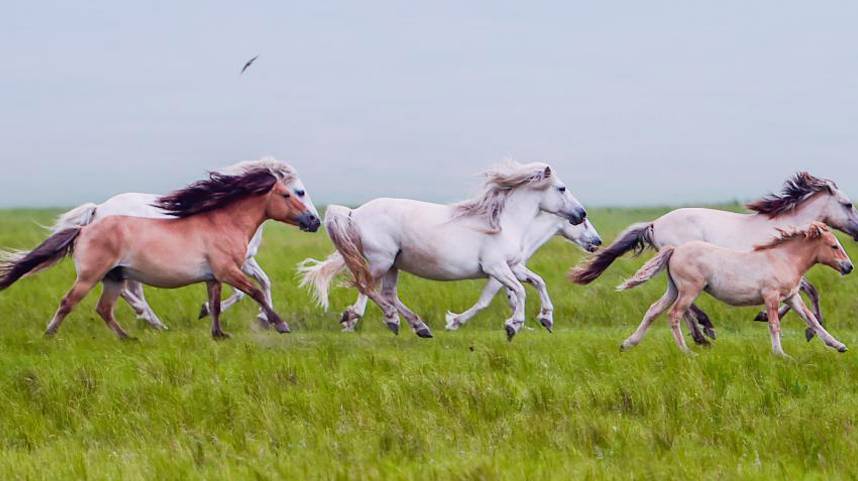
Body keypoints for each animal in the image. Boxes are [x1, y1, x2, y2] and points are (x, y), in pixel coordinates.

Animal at [0, 159, 320, 340]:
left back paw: (129, 336)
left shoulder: (214, 277)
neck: (222, 222)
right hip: (92, 276)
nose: (314, 220)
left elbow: (219, 303)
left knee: (105, 308)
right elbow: (254, 291)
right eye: (291, 193)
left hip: (114, 278)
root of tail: (86, 226)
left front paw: (218, 333)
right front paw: (279, 324)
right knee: (70, 302)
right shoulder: (230, 270)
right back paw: (50, 334)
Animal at [298, 161, 584, 338]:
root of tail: (353, 212)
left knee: (388, 293)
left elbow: (538, 282)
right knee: (366, 287)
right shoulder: (496, 268)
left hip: (393, 265)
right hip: (381, 261)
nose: (581, 213)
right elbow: (521, 291)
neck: (504, 223)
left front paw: (546, 319)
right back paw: (383, 318)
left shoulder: (513, 266)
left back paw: (418, 326)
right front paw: (514, 325)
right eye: (561, 188)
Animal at [616, 222, 848, 356]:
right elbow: (774, 325)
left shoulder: (792, 297)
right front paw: (781, 354)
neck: (783, 259)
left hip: (674, 289)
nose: (849, 267)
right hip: (689, 290)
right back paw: (688, 352)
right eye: (834, 246)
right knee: (674, 315)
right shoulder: (771, 297)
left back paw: (628, 343)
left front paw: (839, 346)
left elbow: (812, 320)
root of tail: (675, 250)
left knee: (653, 310)